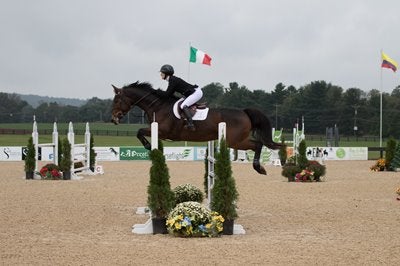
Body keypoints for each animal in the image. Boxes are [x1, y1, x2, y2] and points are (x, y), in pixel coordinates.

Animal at [111, 82, 282, 176]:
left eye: (117, 100)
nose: (113, 119)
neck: (158, 106)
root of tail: (244, 112)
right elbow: (139, 132)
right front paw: (149, 146)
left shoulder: (162, 131)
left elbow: (139, 131)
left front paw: (147, 146)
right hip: (236, 140)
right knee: (257, 144)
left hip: (235, 141)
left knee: (258, 144)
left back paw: (259, 168)